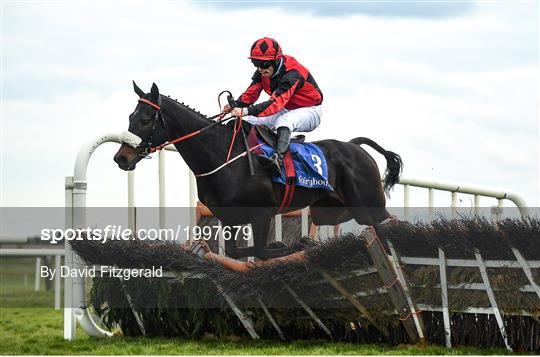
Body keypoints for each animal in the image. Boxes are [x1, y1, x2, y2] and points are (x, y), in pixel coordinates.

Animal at [113, 81, 400, 258]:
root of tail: (355, 145)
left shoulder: (262, 214)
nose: (121, 158)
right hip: (334, 211)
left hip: (368, 204)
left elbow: (262, 251)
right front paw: (295, 244)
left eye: (146, 119)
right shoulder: (228, 218)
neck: (222, 157)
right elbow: (236, 252)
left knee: (389, 222)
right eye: (130, 117)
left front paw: (288, 246)